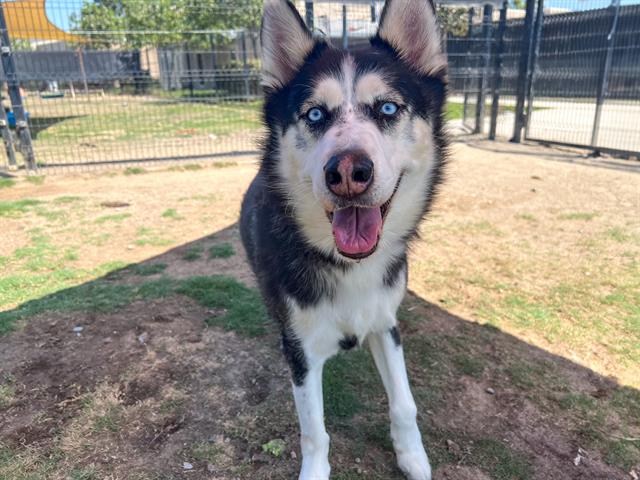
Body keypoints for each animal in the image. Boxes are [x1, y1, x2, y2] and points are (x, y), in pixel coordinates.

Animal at [239, 0, 444, 476]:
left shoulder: (386, 323)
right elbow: (314, 431)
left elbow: (404, 402)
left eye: (387, 108)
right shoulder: (300, 349)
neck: (350, 266)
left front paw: (412, 457)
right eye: (315, 114)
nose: (348, 171)